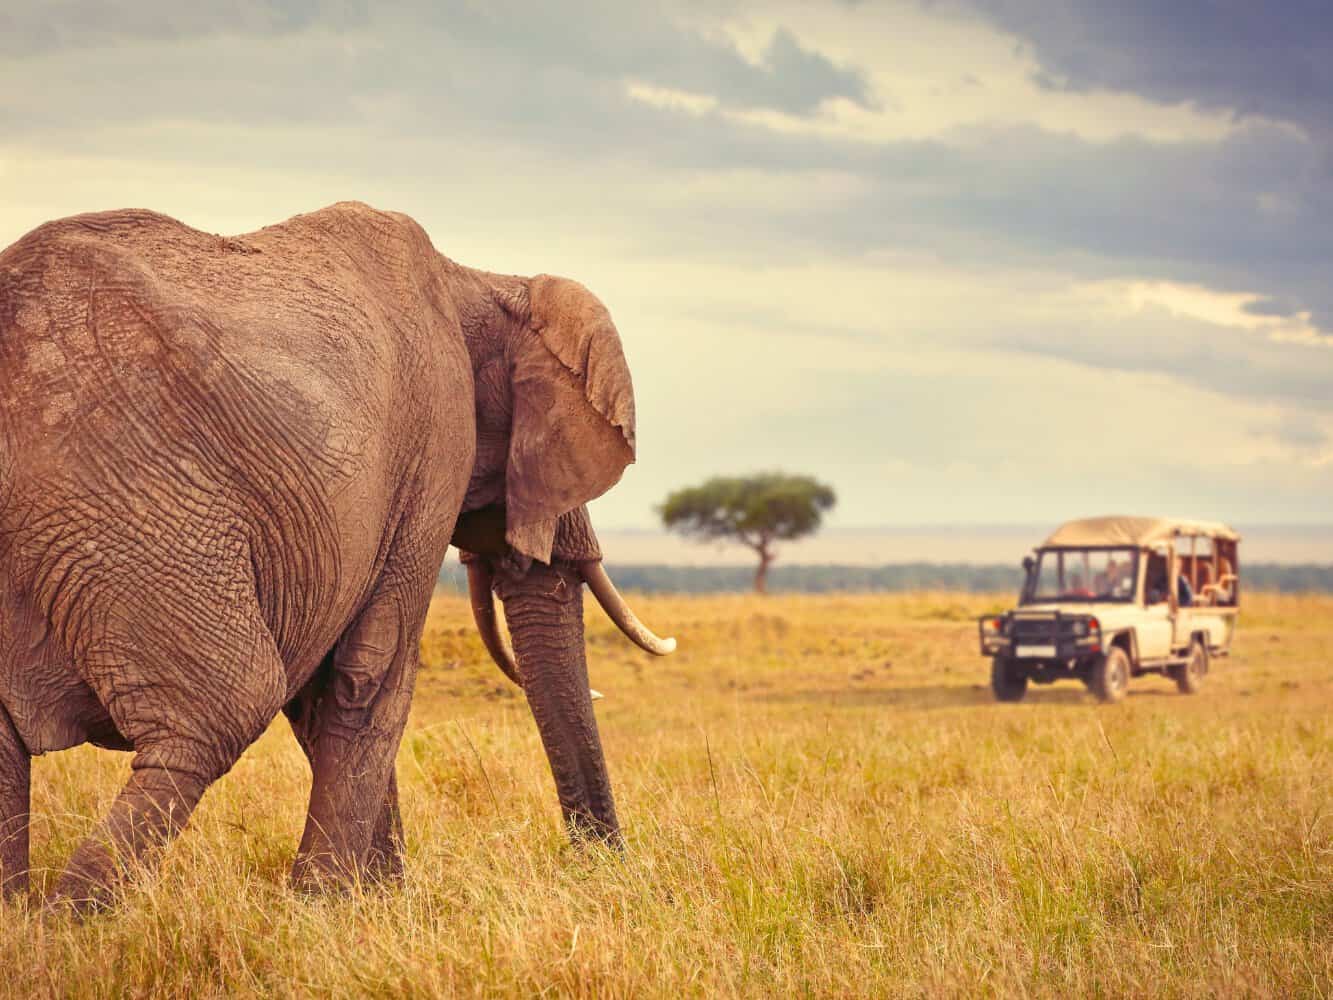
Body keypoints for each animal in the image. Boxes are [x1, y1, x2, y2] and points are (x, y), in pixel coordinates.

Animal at [0, 202, 674, 909]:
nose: (602, 870)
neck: (482, 281)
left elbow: (324, 685)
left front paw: (370, 899)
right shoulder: (435, 443)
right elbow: (369, 670)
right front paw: (329, 902)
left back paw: (19, 917)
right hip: (129, 505)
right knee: (222, 710)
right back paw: (67, 919)